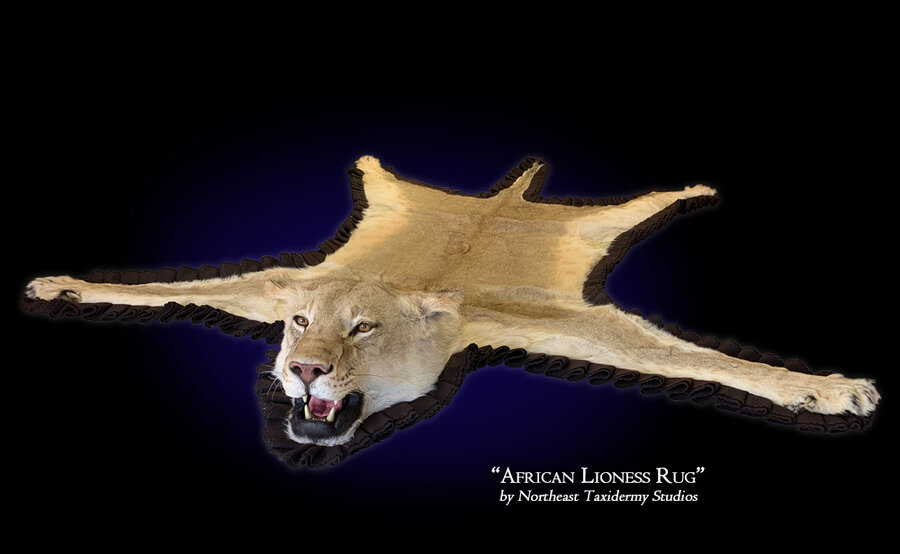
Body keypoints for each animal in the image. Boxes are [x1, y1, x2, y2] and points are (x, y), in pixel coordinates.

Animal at [24, 155, 881, 450]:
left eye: (362, 330)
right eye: (301, 323)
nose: (304, 370)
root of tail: (497, 200)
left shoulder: (552, 323)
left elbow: (702, 360)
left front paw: (829, 390)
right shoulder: (273, 288)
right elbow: (174, 288)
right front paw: (61, 286)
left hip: (597, 223)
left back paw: (697, 189)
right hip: (405, 198)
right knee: (385, 175)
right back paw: (368, 161)